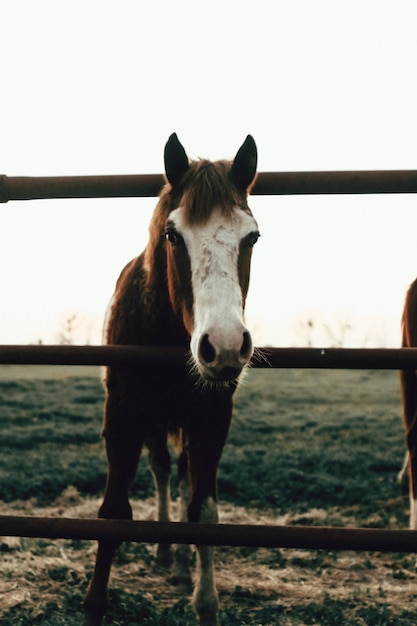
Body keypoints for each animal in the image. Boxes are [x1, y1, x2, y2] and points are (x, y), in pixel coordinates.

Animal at [83, 133, 260, 624]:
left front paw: (206, 602)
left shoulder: (212, 421)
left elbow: (203, 511)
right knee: (162, 471)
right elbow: (113, 510)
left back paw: (179, 564)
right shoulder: (123, 417)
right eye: (172, 235)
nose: (224, 345)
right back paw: (165, 552)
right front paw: (95, 604)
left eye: (252, 236)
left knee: (180, 482)